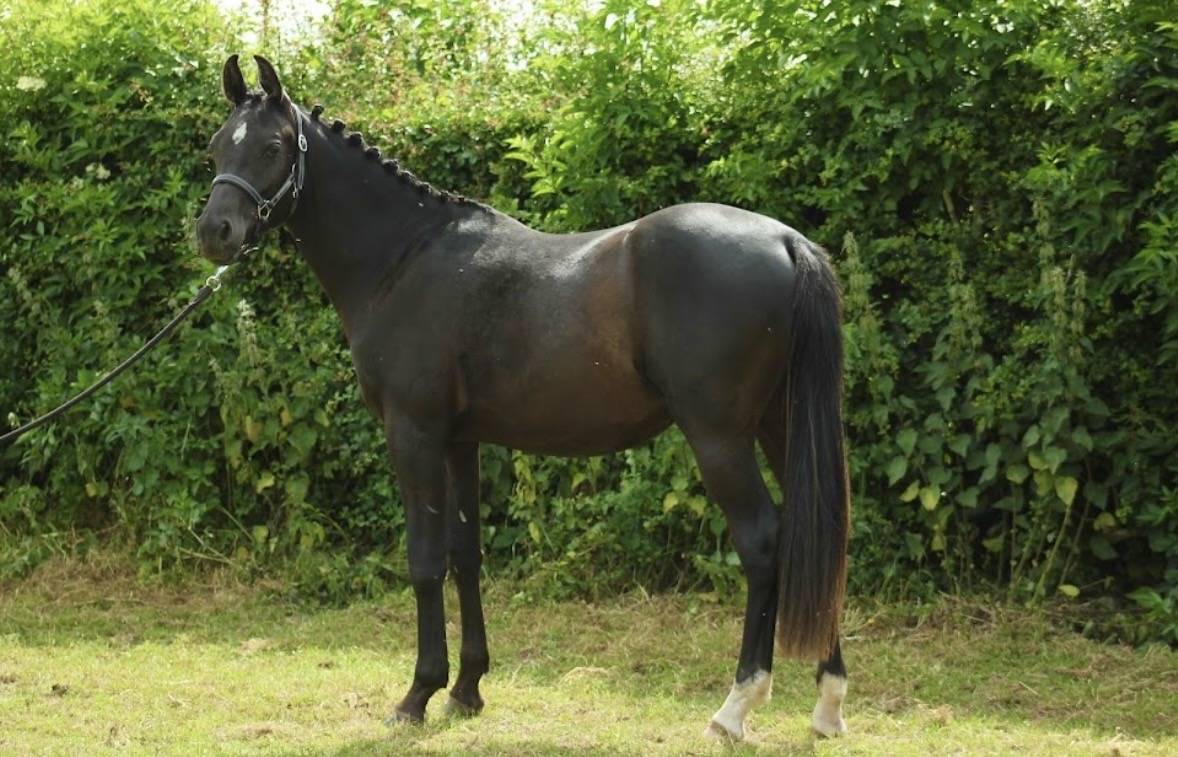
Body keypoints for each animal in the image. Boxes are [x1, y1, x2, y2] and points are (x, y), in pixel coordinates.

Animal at [196, 55, 851, 741]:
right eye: (215, 146)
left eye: (272, 147)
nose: (215, 232)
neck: (404, 259)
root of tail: (787, 243)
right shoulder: (460, 441)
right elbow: (466, 555)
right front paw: (466, 689)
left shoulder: (414, 433)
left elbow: (425, 559)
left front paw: (417, 694)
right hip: (780, 426)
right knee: (818, 534)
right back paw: (828, 704)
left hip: (719, 436)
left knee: (763, 543)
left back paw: (736, 706)